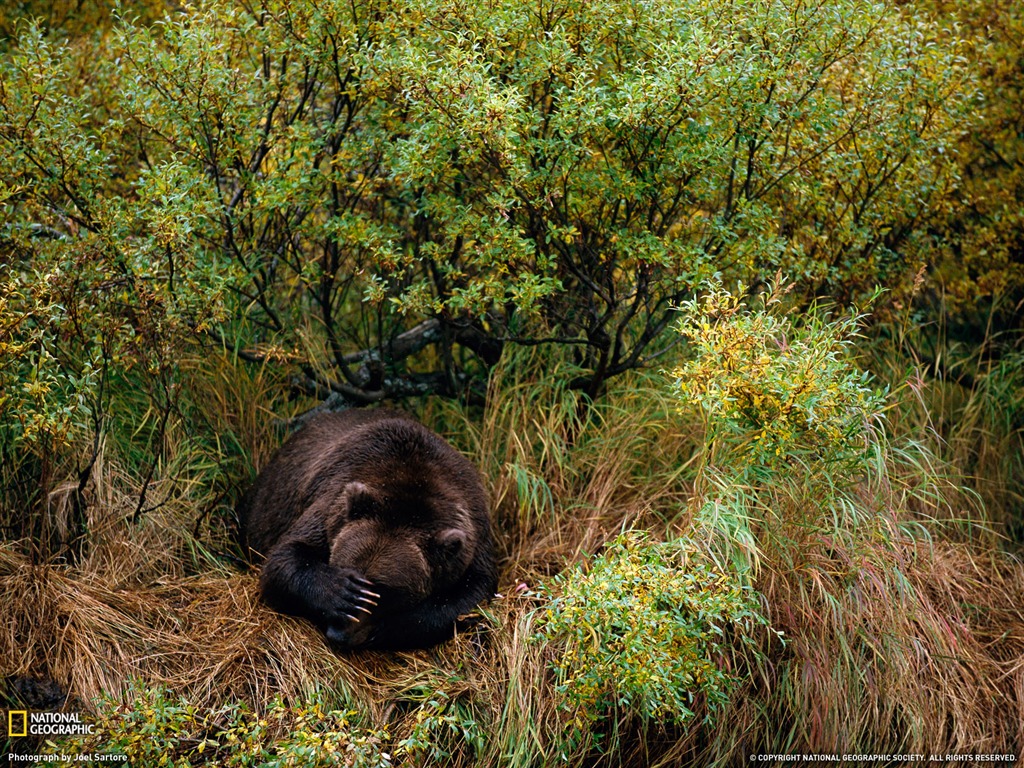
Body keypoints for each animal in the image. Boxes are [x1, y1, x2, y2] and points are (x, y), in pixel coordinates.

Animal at [237, 409, 497, 651]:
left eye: (384, 590)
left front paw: (390, 627)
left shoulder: (472, 533)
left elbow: (473, 592)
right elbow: (285, 557)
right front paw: (342, 592)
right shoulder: (333, 503)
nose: (339, 634)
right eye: (344, 568)